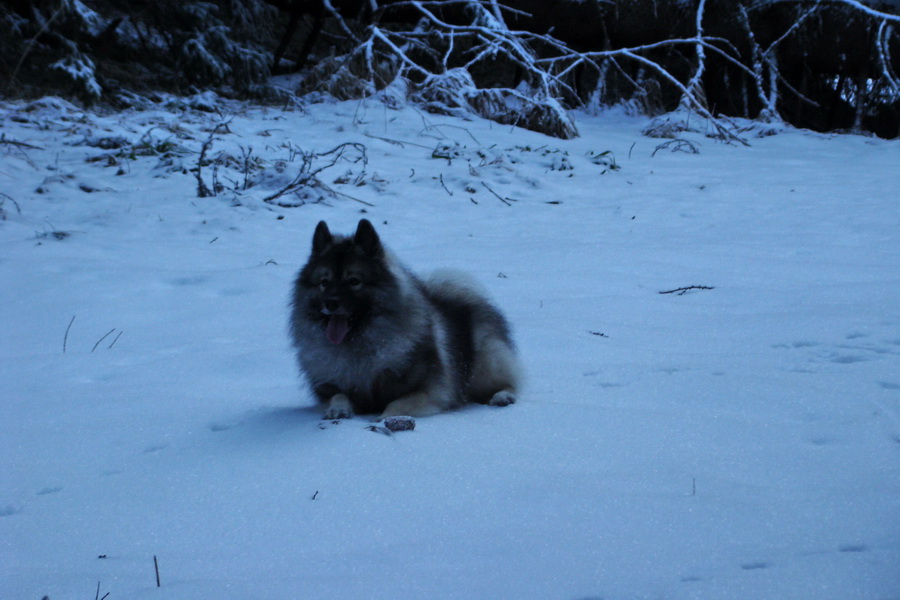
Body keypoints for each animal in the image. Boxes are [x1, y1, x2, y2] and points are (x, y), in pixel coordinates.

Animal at [290, 218, 520, 420]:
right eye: (324, 282)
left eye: (354, 281)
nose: (331, 303)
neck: (359, 346)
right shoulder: (327, 389)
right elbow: (338, 395)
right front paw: (338, 409)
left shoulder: (430, 390)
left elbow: (397, 403)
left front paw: (384, 418)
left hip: (486, 364)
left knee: (508, 382)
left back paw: (502, 396)